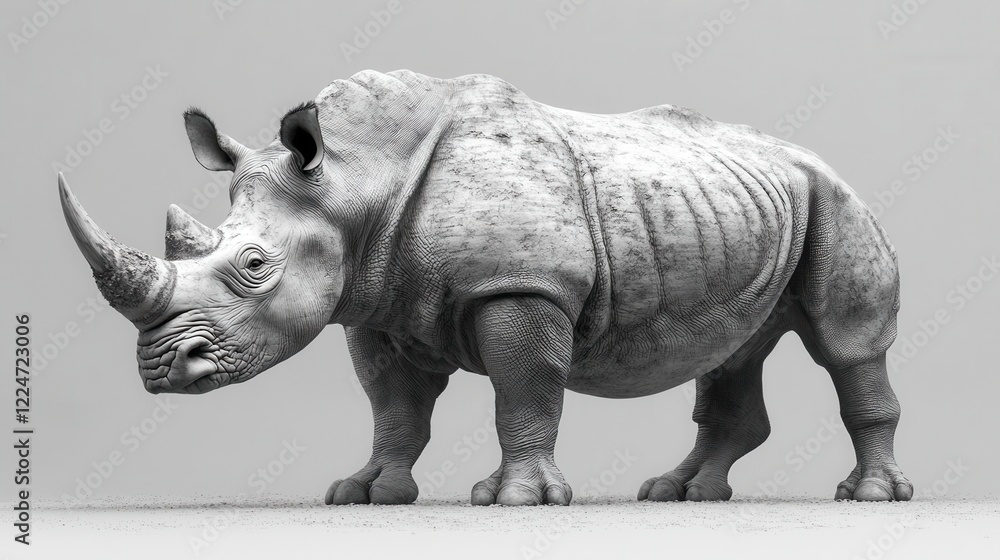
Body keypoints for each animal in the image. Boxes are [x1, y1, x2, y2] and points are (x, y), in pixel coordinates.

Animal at [59, 69, 912, 506]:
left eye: (254, 266)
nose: (161, 369)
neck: (354, 182)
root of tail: (809, 156)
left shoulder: (522, 286)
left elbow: (523, 390)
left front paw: (518, 499)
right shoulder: (372, 302)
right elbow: (394, 407)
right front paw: (367, 492)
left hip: (836, 200)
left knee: (845, 345)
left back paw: (868, 496)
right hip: (745, 210)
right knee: (732, 349)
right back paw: (679, 493)